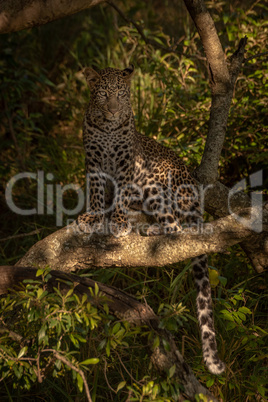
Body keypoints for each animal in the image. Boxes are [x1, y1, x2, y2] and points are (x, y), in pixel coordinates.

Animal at [78, 64, 226, 376]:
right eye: (103, 94)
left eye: (122, 94)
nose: (113, 111)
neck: (107, 129)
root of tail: (195, 196)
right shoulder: (93, 163)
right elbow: (96, 191)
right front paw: (93, 215)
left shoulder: (125, 165)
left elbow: (121, 194)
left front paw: (118, 221)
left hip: (157, 185)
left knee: (177, 230)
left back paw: (151, 229)